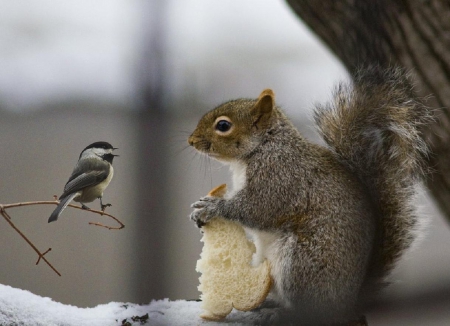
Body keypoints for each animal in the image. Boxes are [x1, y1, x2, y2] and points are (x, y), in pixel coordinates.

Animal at [188, 65, 430, 324]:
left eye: (223, 126)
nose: (191, 141)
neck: (265, 145)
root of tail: (347, 305)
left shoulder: (279, 177)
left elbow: (257, 208)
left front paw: (211, 207)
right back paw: (267, 302)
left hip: (301, 263)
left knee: (308, 309)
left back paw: (282, 313)